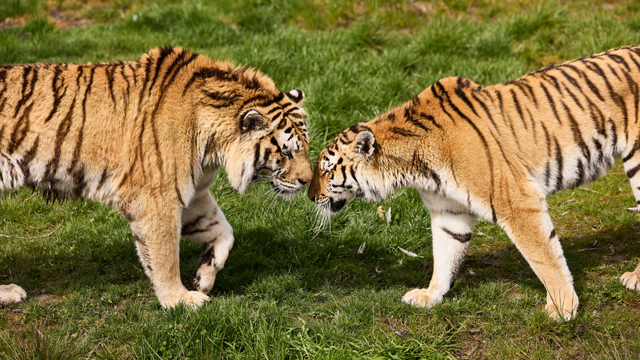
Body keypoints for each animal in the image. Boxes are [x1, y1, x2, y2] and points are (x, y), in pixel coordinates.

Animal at [0, 45, 312, 310]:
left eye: (305, 146)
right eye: (285, 151)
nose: (308, 181)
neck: (214, 145)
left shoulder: (193, 191)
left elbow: (224, 230)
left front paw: (204, 277)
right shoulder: (158, 197)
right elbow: (165, 256)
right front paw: (180, 300)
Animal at [308, 45, 640, 320]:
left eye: (326, 170)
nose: (310, 197)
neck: (413, 166)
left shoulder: (518, 202)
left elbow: (544, 256)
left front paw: (562, 308)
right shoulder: (448, 211)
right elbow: (444, 255)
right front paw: (430, 296)